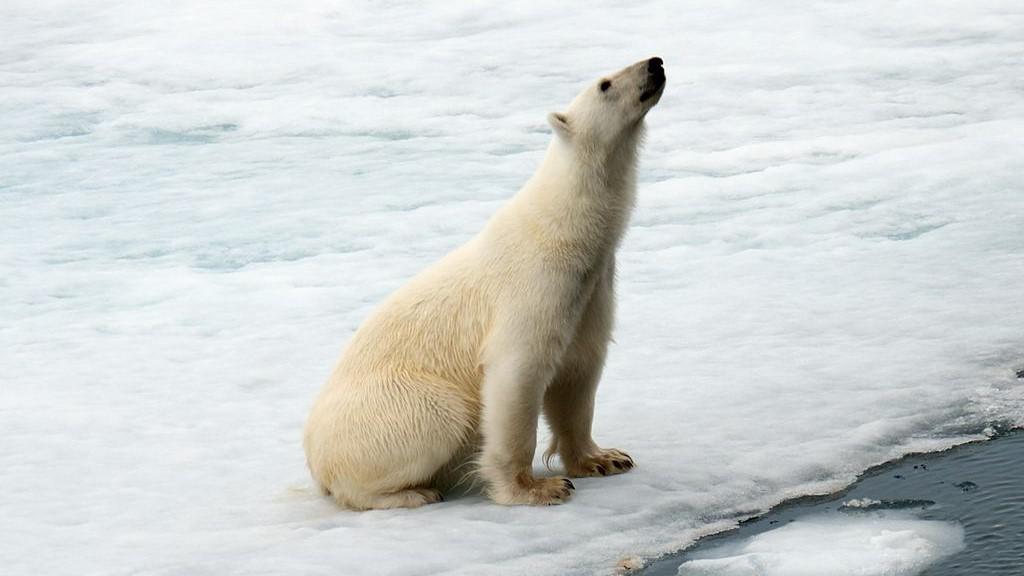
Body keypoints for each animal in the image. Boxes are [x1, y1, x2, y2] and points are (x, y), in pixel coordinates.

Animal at [303, 57, 667, 506]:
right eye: (605, 84)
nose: (655, 63)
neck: (565, 232)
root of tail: (313, 455)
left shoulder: (589, 291)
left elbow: (579, 373)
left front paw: (604, 458)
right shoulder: (533, 287)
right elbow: (516, 375)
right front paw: (537, 488)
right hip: (384, 412)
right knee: (437, 416)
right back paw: (414, 493)